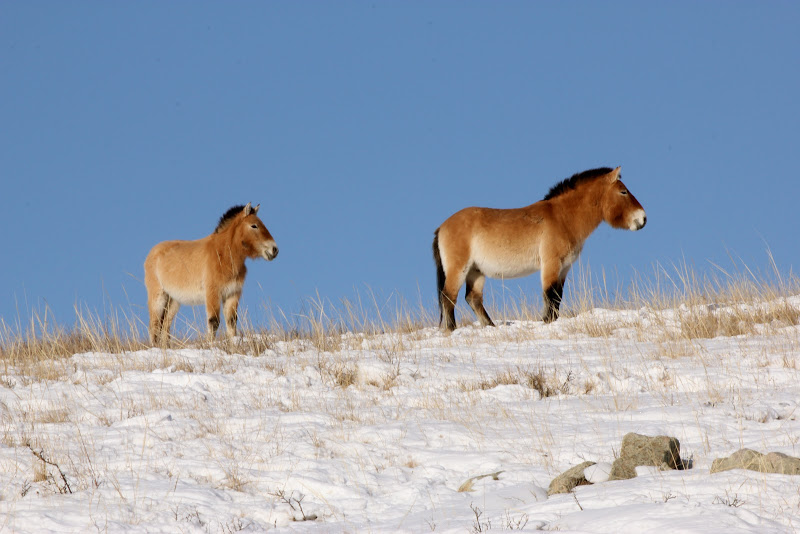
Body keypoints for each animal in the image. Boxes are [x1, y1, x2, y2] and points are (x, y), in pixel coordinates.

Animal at [144, 203, 278, 346]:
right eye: (254, 225)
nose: (274, 249)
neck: (223, 255)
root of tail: (152, 254)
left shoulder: (232, 295)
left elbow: (231, 322)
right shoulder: (213, 294)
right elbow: (213, 322)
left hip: (174, 301)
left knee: (165, 326)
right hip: (158, 298)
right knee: (154, 325)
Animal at [434, 168, 648, 330]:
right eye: (623, 192)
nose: (643, 218)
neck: (562, 217)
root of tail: (442, 227)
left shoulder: (564, 268)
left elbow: (557, 298)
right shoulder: (551, 264)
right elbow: (549, 296)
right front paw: (547, 322)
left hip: (476, 272)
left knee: (473, 299)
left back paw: (490, 326)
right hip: (459, 269)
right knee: (448, 297)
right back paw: (451, 329)